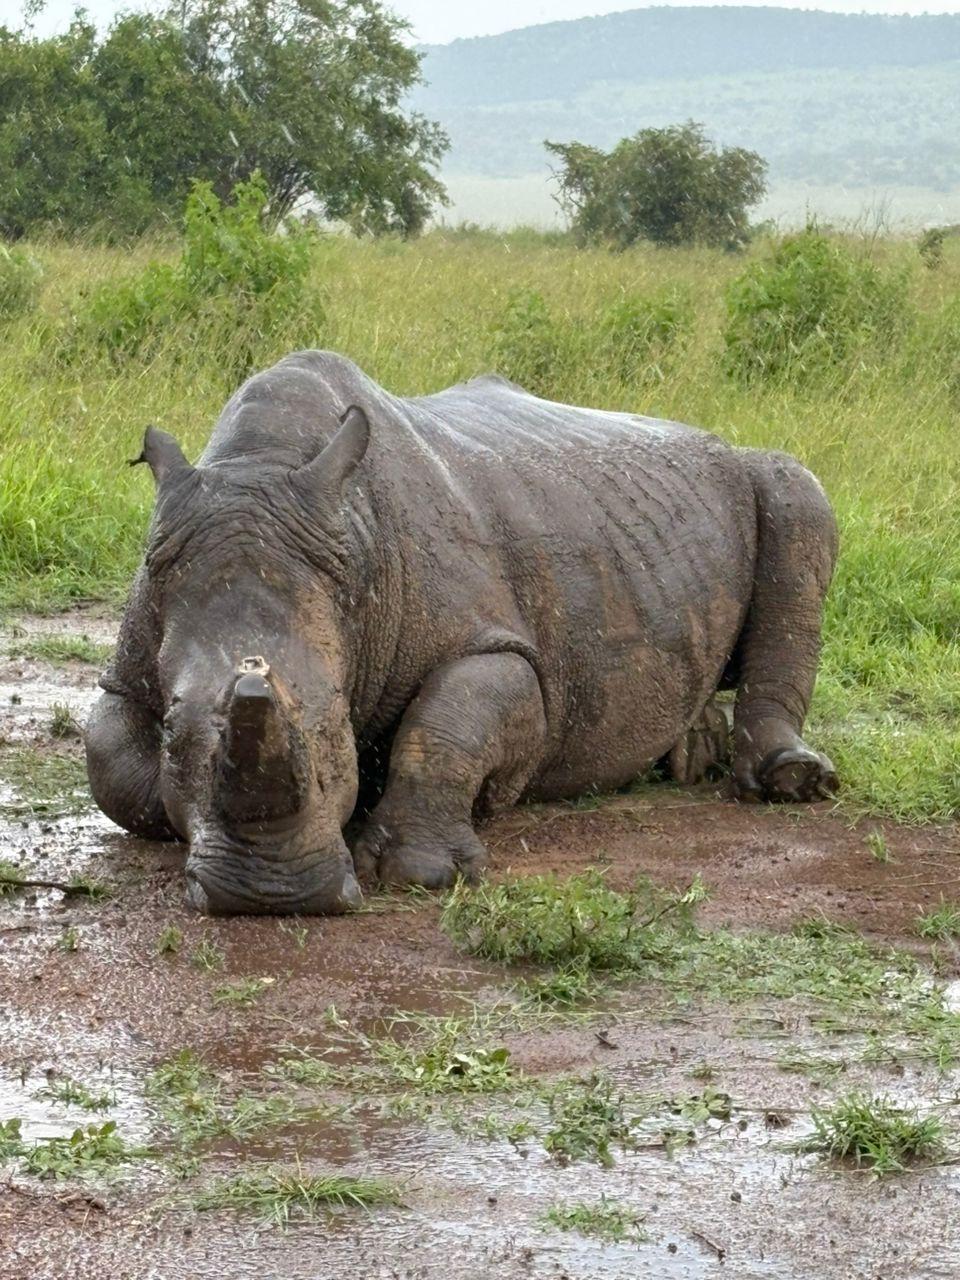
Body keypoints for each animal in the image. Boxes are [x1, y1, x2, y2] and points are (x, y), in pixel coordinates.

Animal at [85, 350, 838, 915]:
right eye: (174, 730)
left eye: (338, 727)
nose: (269, 895)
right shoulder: (128, 666)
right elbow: (107, 755)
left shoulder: (500, 646)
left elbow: (450, 723)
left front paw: (425, 870)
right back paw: (689, 751)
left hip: (746, 474)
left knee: (795, 492)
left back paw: (791, 780)